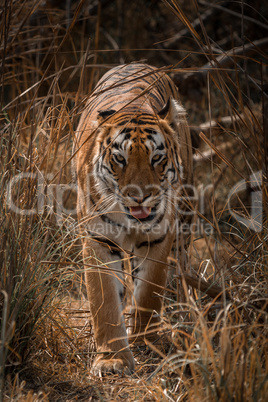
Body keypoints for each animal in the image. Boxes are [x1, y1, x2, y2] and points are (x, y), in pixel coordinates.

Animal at [73, 62, 193, 374]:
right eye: (120, 159)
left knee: (182, 266)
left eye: (156, 158)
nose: (140, 197)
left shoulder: (159, 238)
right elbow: (104, 300)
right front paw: (112, 359)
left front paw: (144, 342)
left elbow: (149, 293)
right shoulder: (99, 240)